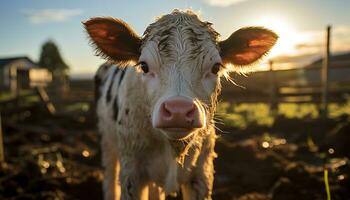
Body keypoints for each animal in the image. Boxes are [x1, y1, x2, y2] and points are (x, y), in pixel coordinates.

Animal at [83, 9, 278, 200]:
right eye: (144, 66)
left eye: (216, 67)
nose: (178, 110)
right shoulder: (132, 173)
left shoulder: (201, 174)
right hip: (107, 143)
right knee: (110, 179)